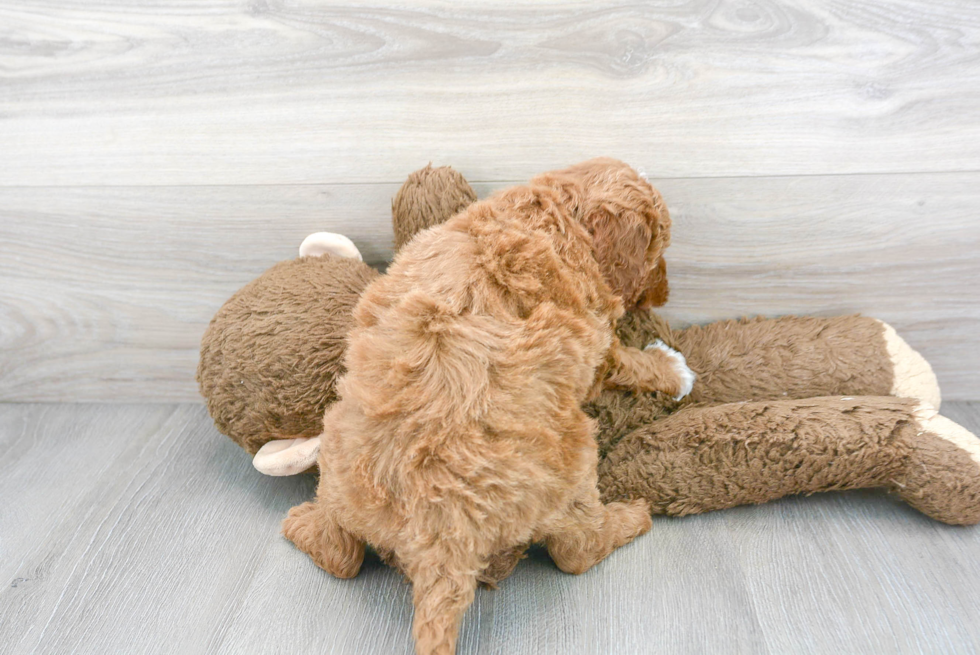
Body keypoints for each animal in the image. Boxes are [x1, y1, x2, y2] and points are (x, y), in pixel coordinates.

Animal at [284, 159, 692, 655]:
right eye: (658, 250)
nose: (663, 295)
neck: (552, 211)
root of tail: (442, 536)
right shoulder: (594, 339)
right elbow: (625, 359)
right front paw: (673, 370)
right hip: (573, 463)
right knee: (577, 551)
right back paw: (631, 516)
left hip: (337, 455)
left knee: (338, 553)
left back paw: (301, 524)